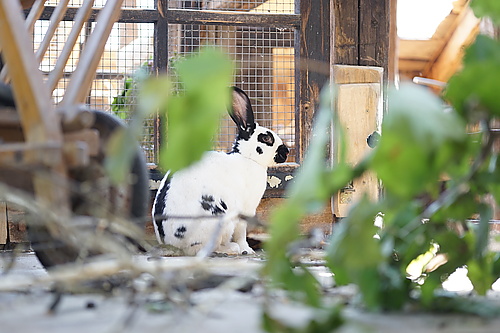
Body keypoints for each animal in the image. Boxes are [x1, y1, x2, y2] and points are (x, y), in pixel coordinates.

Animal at [152, 86, 290, 254]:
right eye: (266, 138)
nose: (287, 152)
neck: (247, 157)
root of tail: (173, 244)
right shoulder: (245, 210)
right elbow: (241, 232)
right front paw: (247, 249)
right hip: (221, 220)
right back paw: (232, 248)